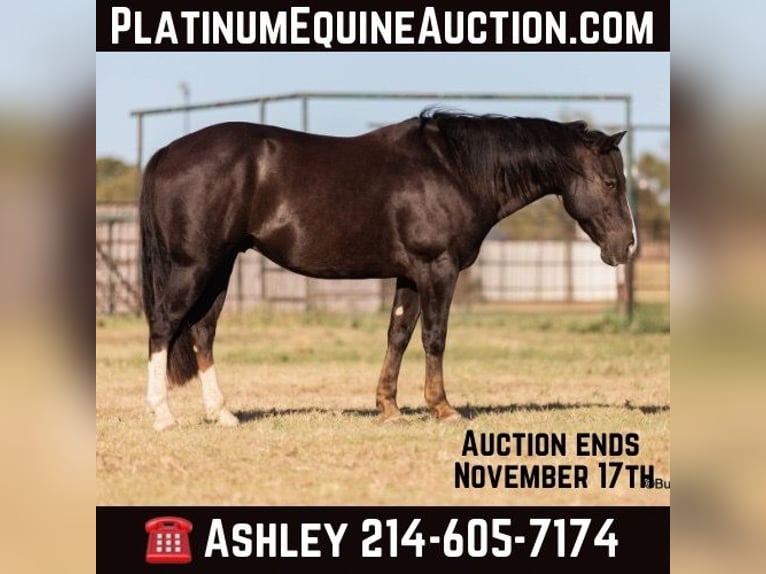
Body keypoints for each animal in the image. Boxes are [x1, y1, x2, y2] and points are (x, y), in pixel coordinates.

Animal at [139, 110, 636, 431]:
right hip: (193, 266)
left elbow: (397, 335)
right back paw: (163, 416)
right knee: (164, 325)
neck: (453, 170)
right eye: (611, 182)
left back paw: (222, 413)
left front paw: (389, 408)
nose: (627, 246)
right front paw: (442, 408)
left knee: (202, 331)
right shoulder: (438, 268)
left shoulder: (410, 275)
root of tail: (167, 152)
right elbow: (434, 337)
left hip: (219, 268)